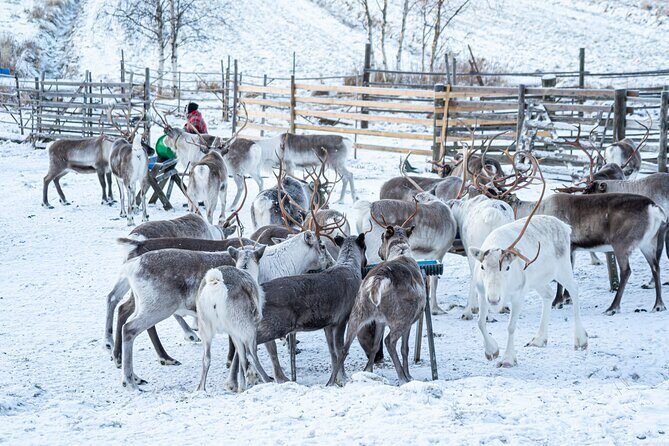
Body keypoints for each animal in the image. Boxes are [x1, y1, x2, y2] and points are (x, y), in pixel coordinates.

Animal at [196, 245, 271, 392]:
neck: (246, 268)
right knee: (250, 354)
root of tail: (216, 285)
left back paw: (201, 389)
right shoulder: (242, 330)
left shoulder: (232, 332)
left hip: (205, 328)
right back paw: (268, 379)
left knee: (206, 358)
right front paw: (243, 385)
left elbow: (239, 356)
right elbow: (242, 356)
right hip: (247, 329)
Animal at [328, 225, 425, 386]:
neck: (401, 251)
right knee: (389, 341)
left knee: (343, 349)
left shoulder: (380, 320)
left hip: (357, 313)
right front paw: (409, 375)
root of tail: (379, 279)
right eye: (382, 237)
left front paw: (368, 370)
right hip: (402, 317)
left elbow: (374, 346)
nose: (379, 253)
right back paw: (402, 378)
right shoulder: (411, 321)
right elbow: (405, 349)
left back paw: (331, 382)